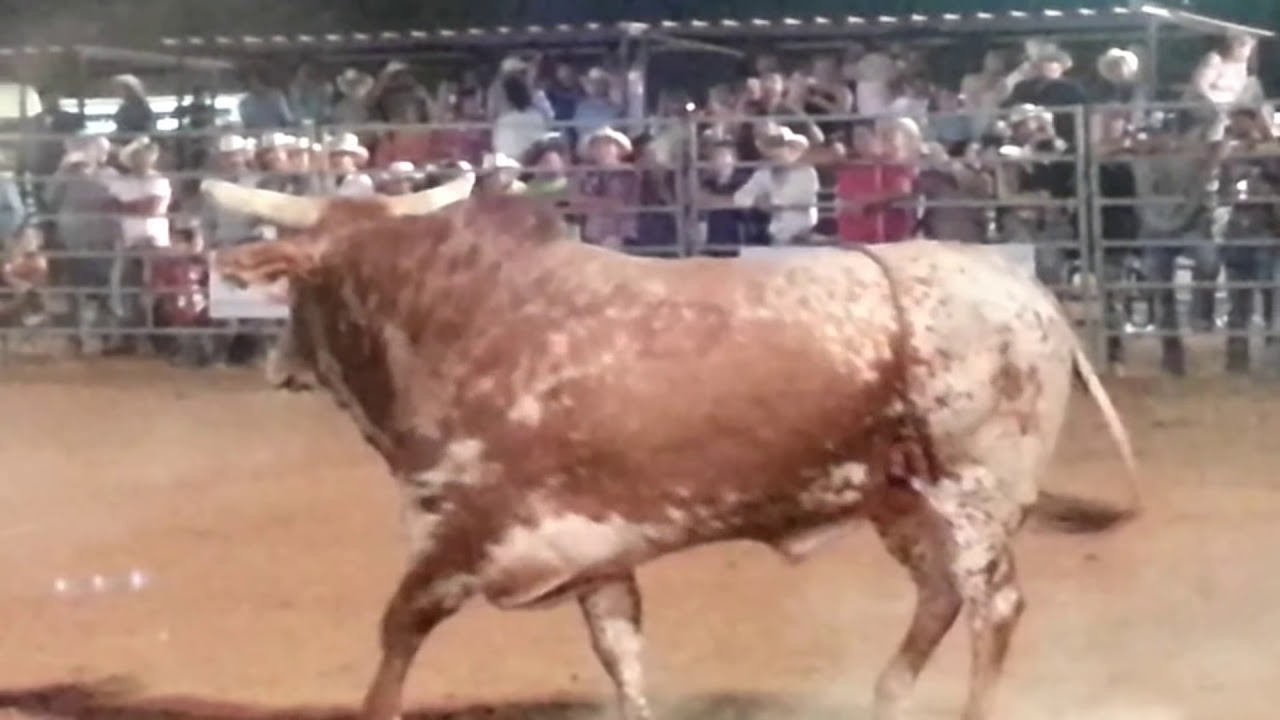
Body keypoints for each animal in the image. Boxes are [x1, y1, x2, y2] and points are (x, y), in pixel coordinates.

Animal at [204, 173, 1138, 720]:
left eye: (295, 286)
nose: (277, 363)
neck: (460, 320)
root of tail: (1027, 291)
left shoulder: (460, 535)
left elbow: (397, 636)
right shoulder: (595, 553)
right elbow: (621, 657)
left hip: (975, 495)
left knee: (993, 610)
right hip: (900, 499)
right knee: (939, 599)